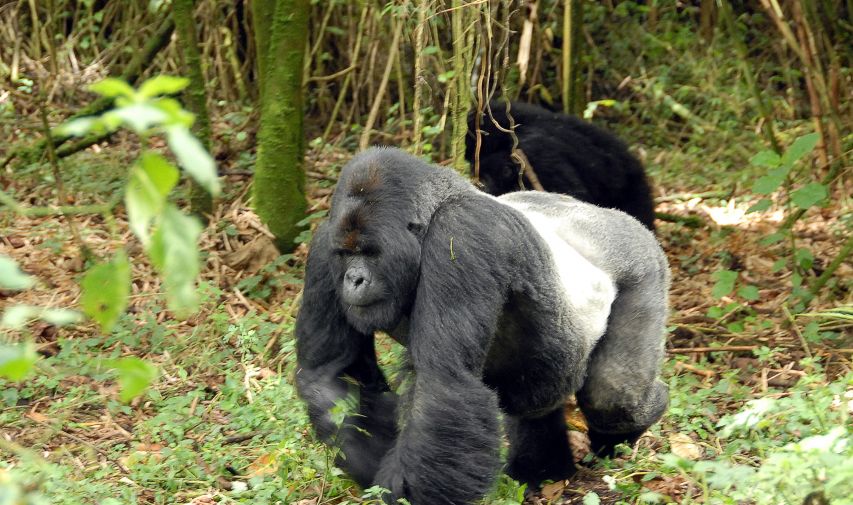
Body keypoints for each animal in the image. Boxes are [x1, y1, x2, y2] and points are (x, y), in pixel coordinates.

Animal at [296, 147, 668, 504]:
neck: (436, 209)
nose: (353, 279)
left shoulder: (461, 233)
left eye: (371, 253)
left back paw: (637, 421)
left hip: (641, 261)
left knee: (613, 395)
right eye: (345, 254)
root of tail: (605, 214)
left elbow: (443, 385)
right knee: (538, 401)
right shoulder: (324, 244)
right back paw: (543, 470)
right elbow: (331, 375)